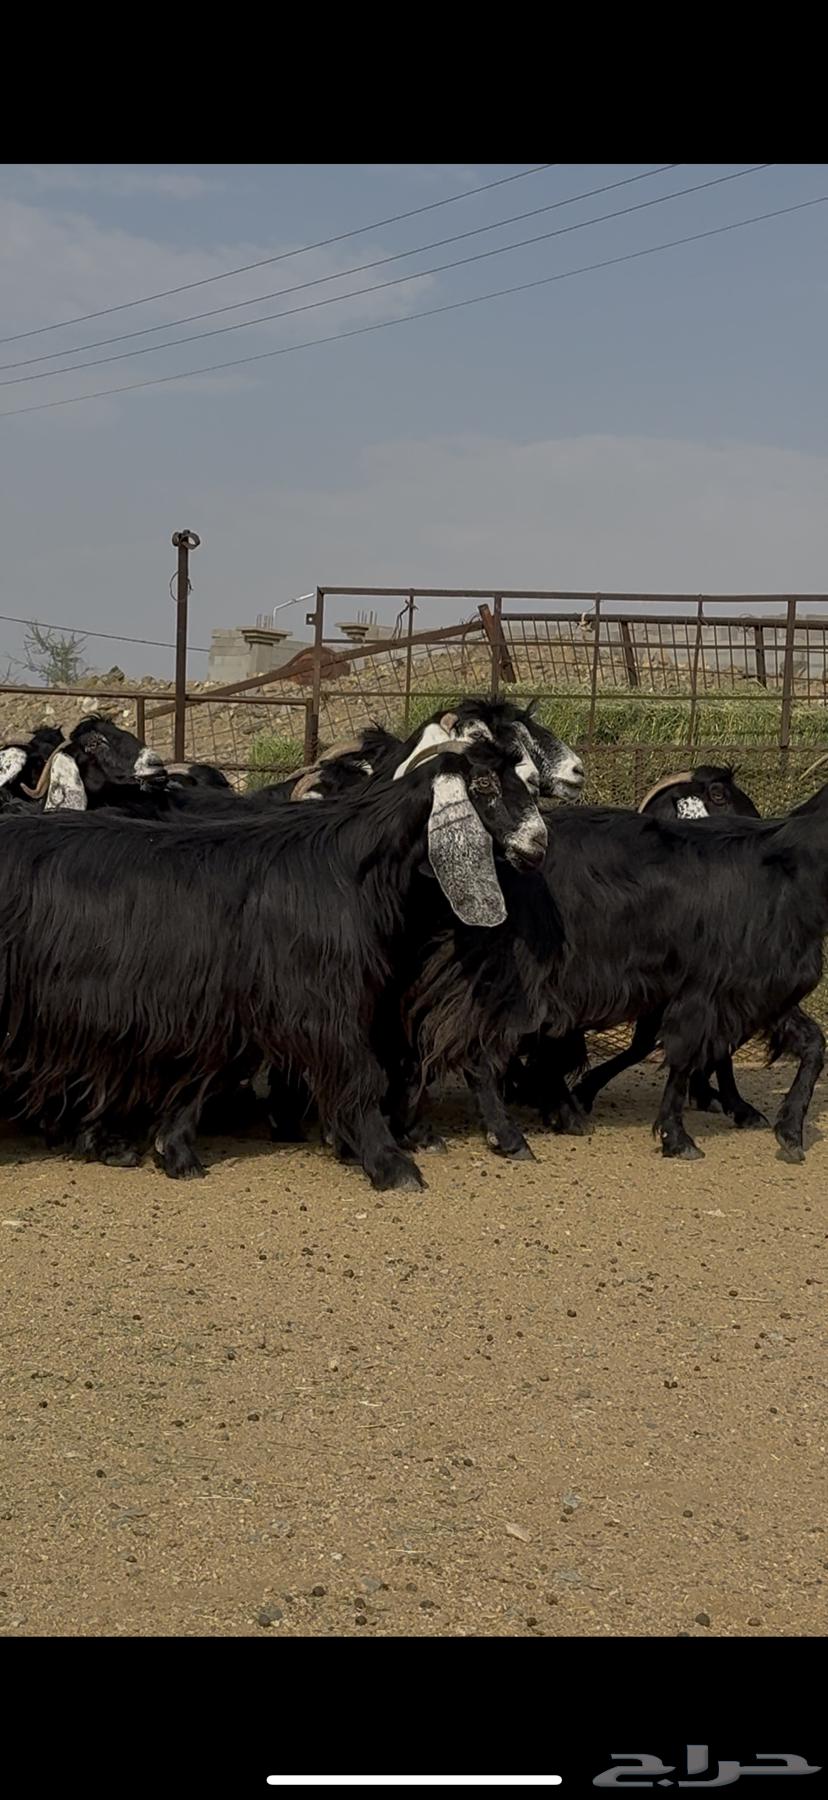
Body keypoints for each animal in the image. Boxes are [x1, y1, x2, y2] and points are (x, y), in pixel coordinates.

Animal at [0, 733, 547, 1187]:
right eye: (482, 783)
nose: (538, 843)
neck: (349, 865)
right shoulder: (319, 998)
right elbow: (359, 1072)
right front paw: (390, 1164)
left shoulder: (233, 997)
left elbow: (209, 1072)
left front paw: (174, 1149)